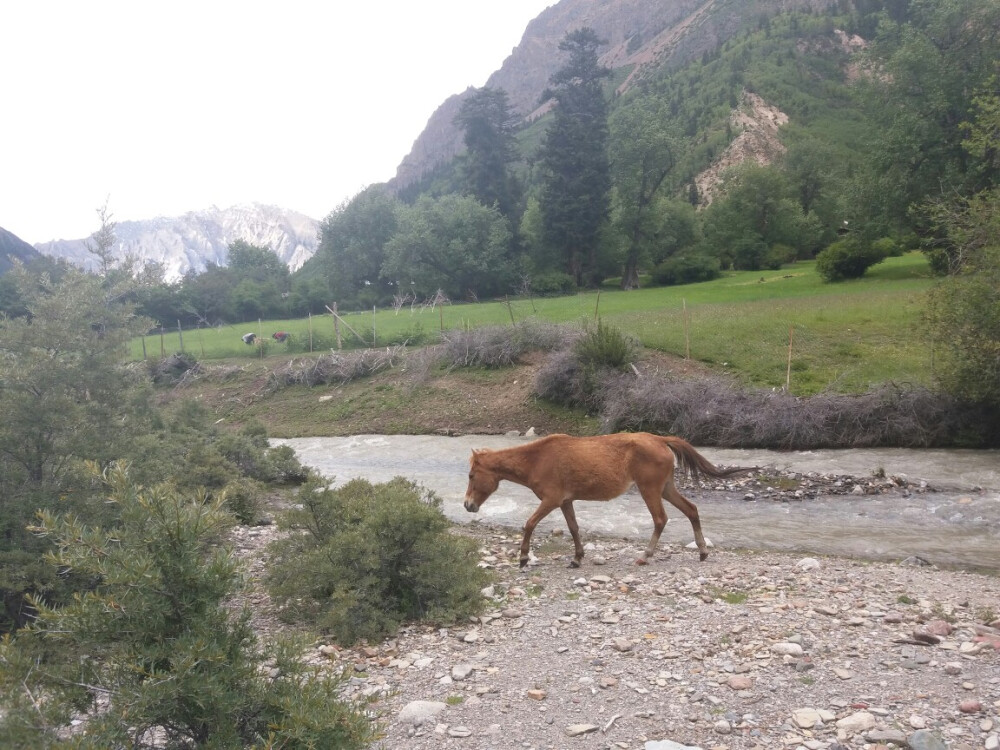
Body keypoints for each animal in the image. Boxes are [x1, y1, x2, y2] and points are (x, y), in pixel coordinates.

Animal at [460, 434, 752, 568]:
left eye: (472, 475)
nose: (467, 505)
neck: (538, 458)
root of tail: (659, 439)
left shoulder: (551, 500)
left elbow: (529, 524)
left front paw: (522, 557)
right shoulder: (565, 502)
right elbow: (574, 529)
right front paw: (577, 558)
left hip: (650, 490)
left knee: (660, 519)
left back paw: (645, 556)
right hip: (666, 489)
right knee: (691, 510)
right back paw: (702, 551)